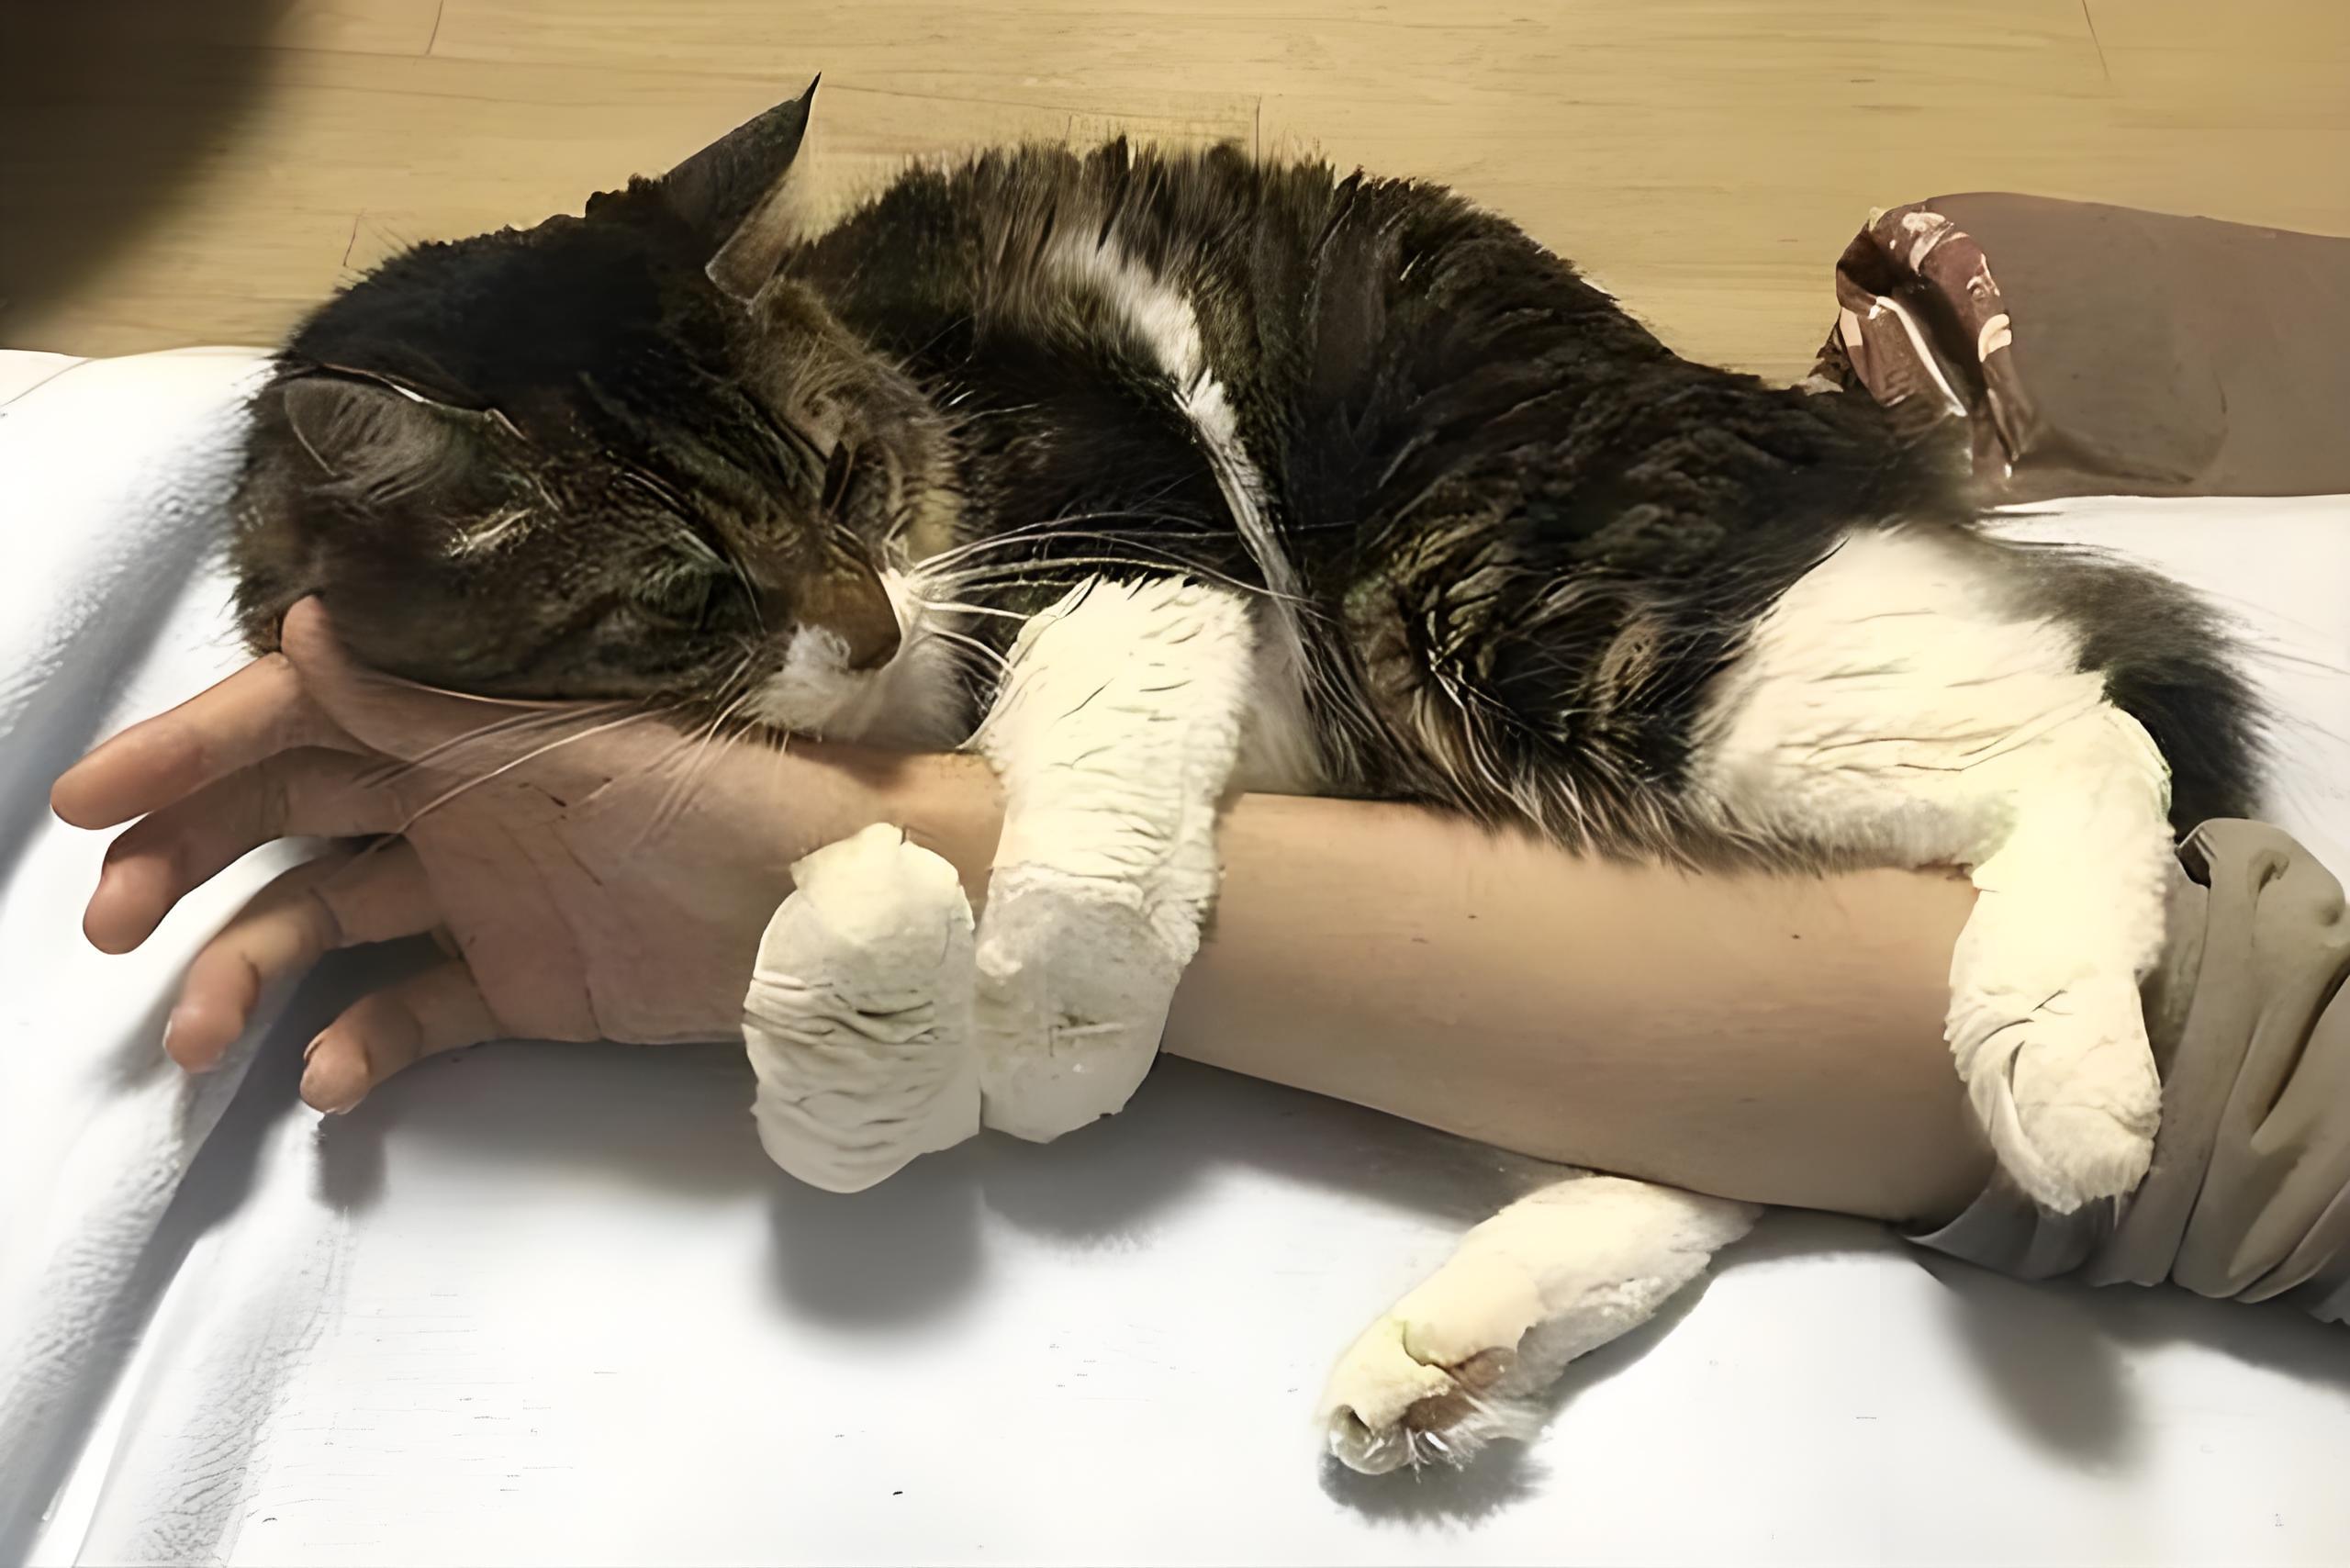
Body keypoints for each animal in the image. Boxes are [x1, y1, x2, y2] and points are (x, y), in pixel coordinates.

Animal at [228, 81, 2260, 1474]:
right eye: (682, 585)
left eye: (841, 477)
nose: (869, 628)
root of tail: (1719, 389)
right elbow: (860, 1108)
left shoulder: (1128, 521)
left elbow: (1083, 846)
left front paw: (1055, 1043)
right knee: (1710, 1151)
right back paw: (1447, 1357)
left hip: (1507, 602)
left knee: (2079, 731)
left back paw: (2067, 1085)